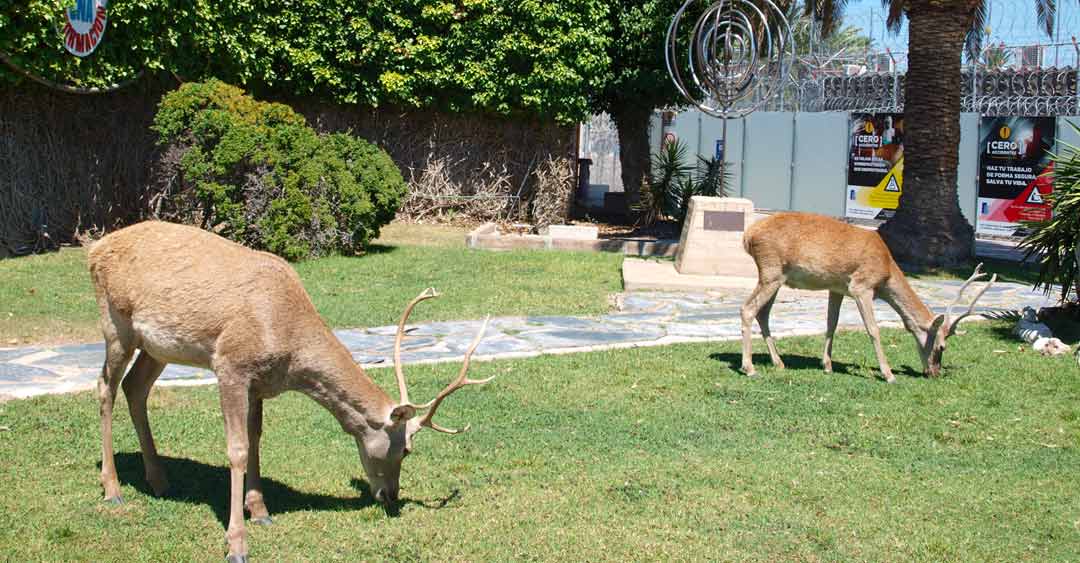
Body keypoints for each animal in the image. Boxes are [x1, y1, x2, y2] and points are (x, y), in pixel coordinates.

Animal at [88, 219, 494, 561]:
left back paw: (159, 481)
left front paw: (260, 511)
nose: (391, 496)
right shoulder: (230, 365)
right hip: (115, 323)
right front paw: (237, 543)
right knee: (105, 386)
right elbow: (237, 449)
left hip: (157, 347)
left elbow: (255, 439)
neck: (289, 349)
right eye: (406, 449)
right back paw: (112, 489)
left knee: (135, 387)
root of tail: (94, 248)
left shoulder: (259, 383)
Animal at [738, 211, 997, 382]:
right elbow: (873, 329)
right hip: (771, 270)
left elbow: (831, 324)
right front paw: (888, 374)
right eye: (942, 346)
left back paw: (778, 362)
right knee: (747, 309)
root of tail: (748, 236)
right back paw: (749, 368)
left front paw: (827, 365)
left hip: (777, 277)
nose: (934, 373)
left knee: (763, 313)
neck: (886, 270)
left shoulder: (836, 287)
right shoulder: (861, 286)